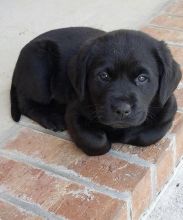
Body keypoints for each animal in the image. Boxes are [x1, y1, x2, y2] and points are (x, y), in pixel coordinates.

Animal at [11, 27, 182, 155]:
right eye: (103, 76)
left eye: (142, 78)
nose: (122, 110)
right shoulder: (74, 110)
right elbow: (96, 142)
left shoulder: (169, 109)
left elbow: (148, 135)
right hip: (39, 65)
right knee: (25, 102)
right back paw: (51, 117)